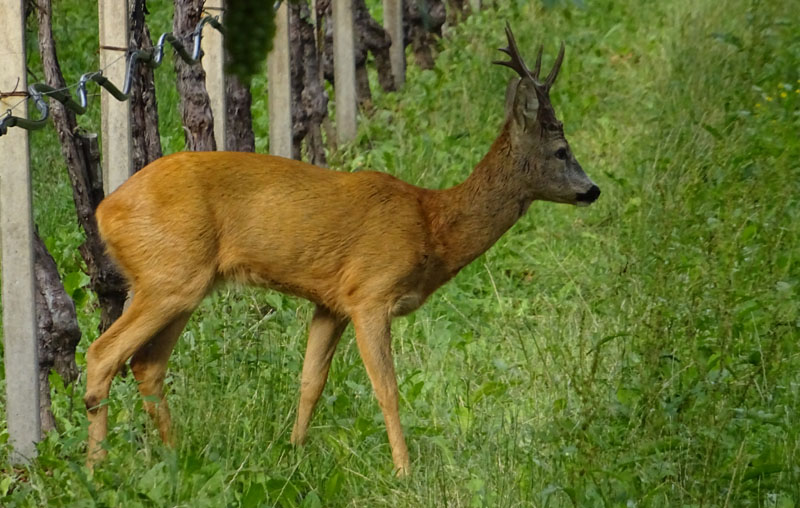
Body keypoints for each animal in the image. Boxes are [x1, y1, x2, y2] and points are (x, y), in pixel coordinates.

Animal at [86, 24, 600, 476]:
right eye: (561, 150)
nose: (592, 190)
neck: (432, 225)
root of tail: (105, 210)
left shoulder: (329, 302)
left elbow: (310, 381)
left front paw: (294, 452)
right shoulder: (370, 293)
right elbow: (387, 388)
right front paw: (403, 470)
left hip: (183, 282)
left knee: (148, 364)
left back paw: (177, 457)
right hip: (170, 275)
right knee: (102, 353)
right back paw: (97, 467)